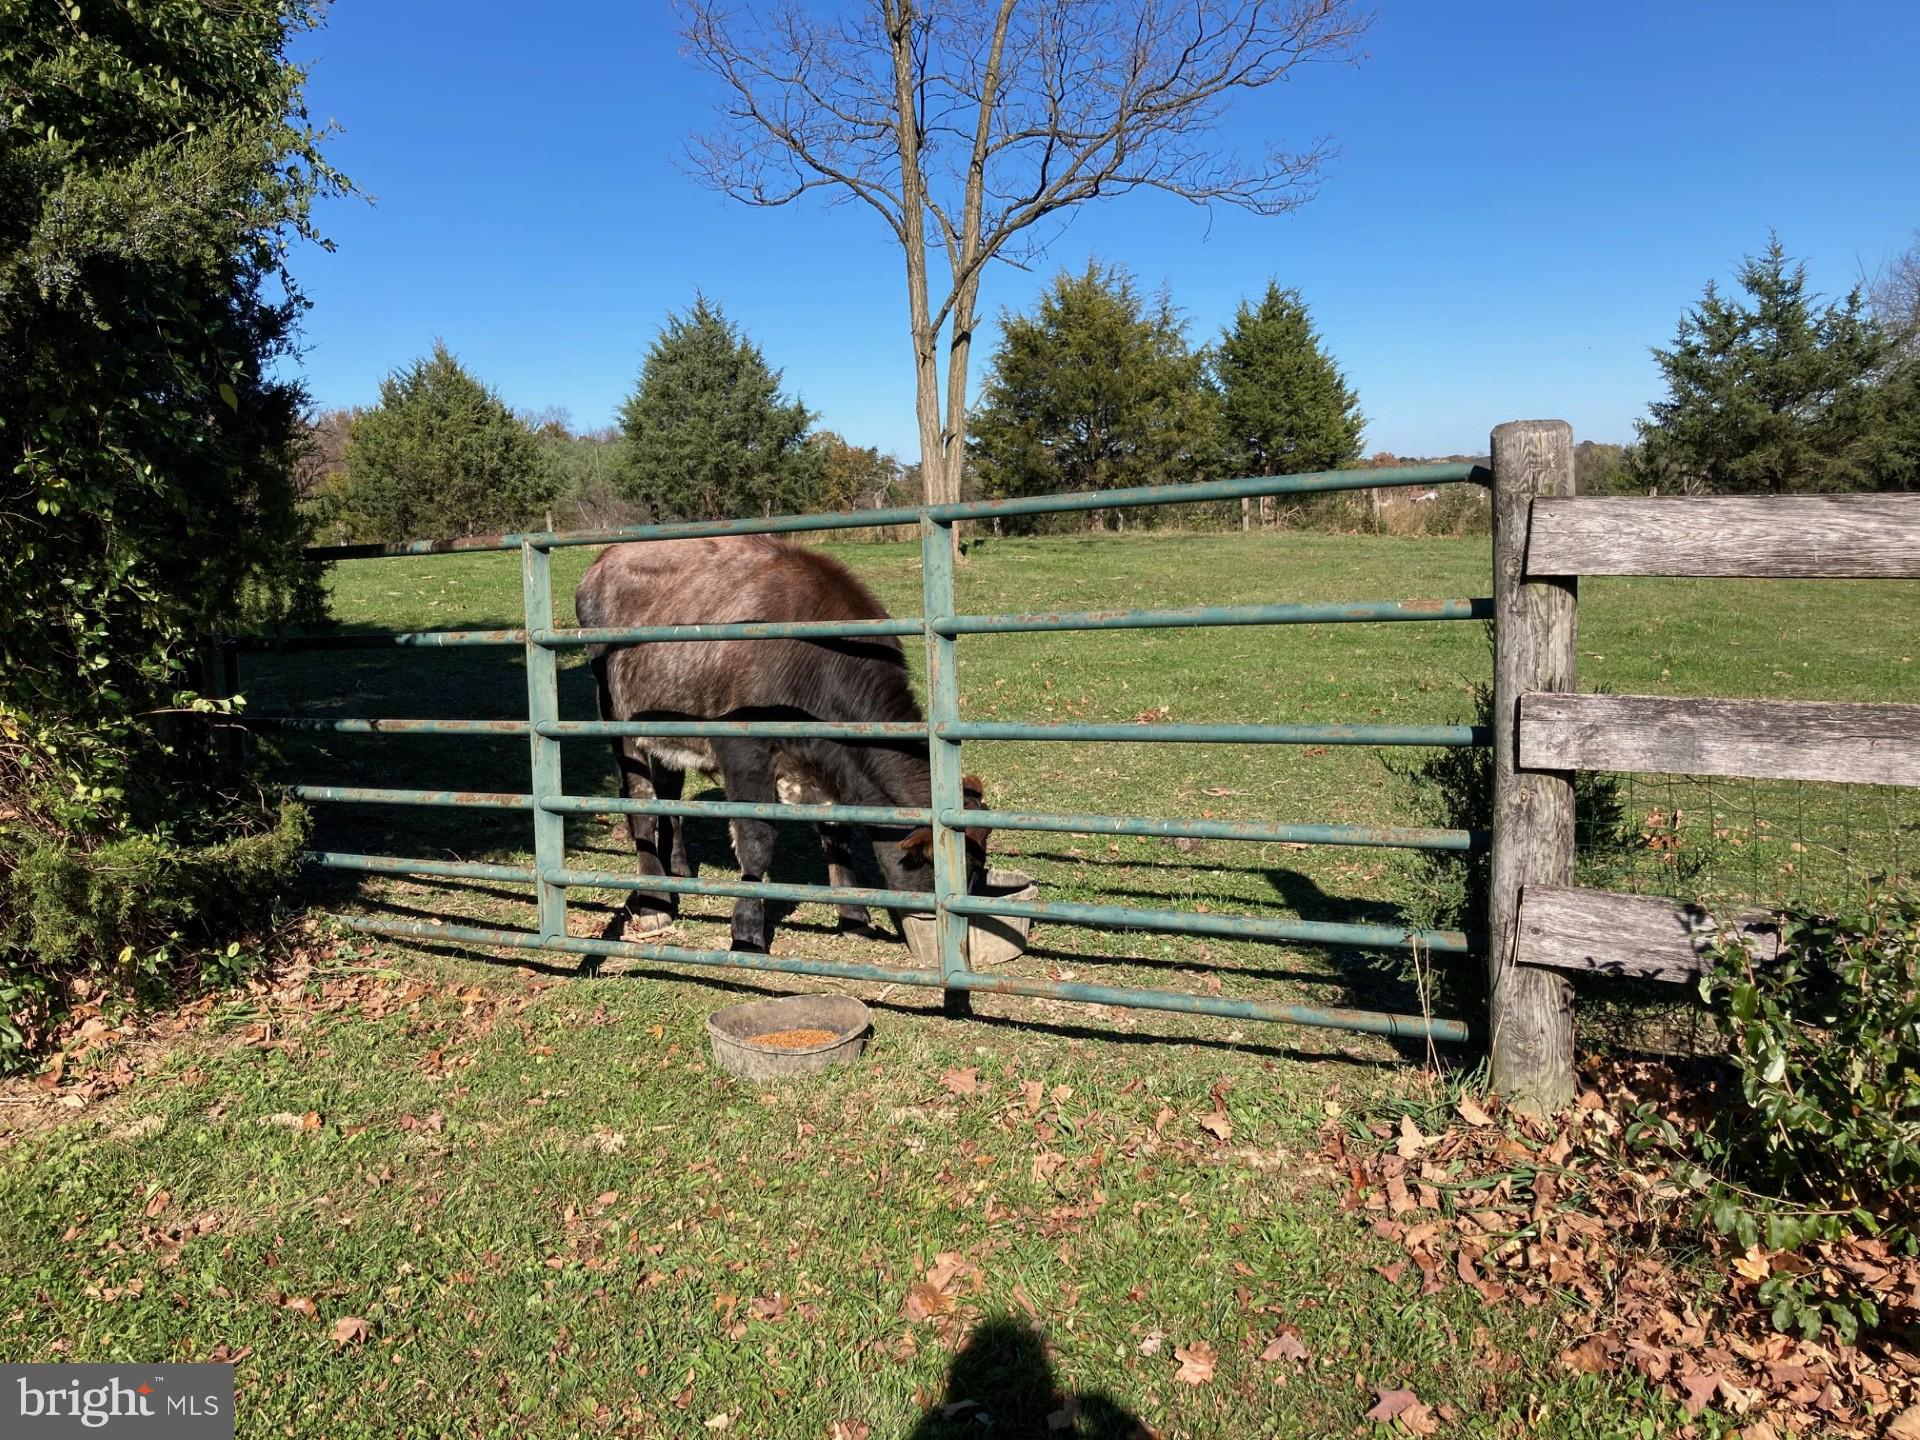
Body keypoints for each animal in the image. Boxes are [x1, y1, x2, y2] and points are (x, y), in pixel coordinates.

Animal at [575, 534, 988, 954]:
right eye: (932, 867)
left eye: (977, 870)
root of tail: (606, 558)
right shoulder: (743, 751)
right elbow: (757, 839)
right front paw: (747, 932)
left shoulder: (823, 764)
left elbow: (836, 833)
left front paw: (853, 916)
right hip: (618, 716)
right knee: (641, 802)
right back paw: (654, 903)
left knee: (669, 796)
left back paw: (675, 873)